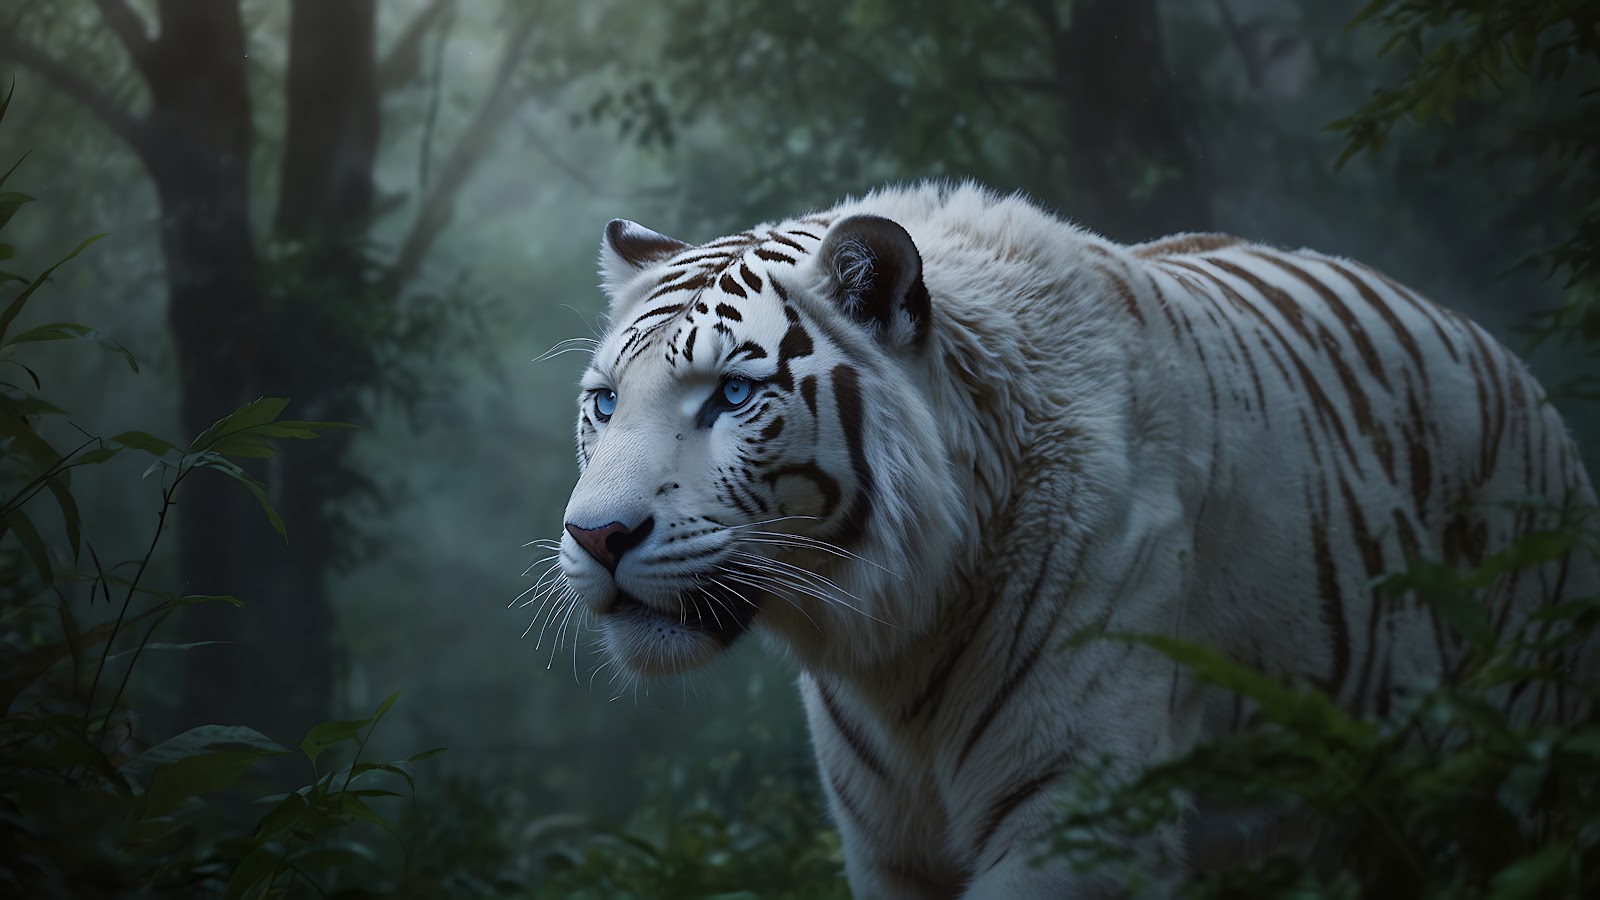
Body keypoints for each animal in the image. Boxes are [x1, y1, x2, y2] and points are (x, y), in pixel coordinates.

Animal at [543, 182, 1596, 898]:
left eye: (730, 394)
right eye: (605, 403)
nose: (597, 536)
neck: (896, 639)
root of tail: (1502, 356)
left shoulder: (1076, 816)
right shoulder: (887, 846)